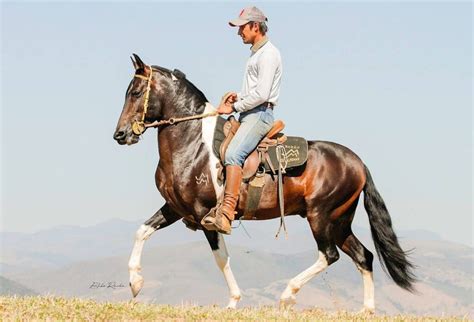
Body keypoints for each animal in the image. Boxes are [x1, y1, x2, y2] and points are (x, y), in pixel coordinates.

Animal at [112, 54, 414, 314]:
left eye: (135, 93)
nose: (121, 134)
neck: (192, 144)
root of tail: (358, 163)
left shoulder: (205, 214)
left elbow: (221, 257)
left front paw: (233, 301)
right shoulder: (175, 208)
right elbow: (141, 231)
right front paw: (135, 283)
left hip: (321, 216)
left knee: (328, 255)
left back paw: (287, 295)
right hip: (339, 221)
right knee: (364, 256)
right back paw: (367, 309)